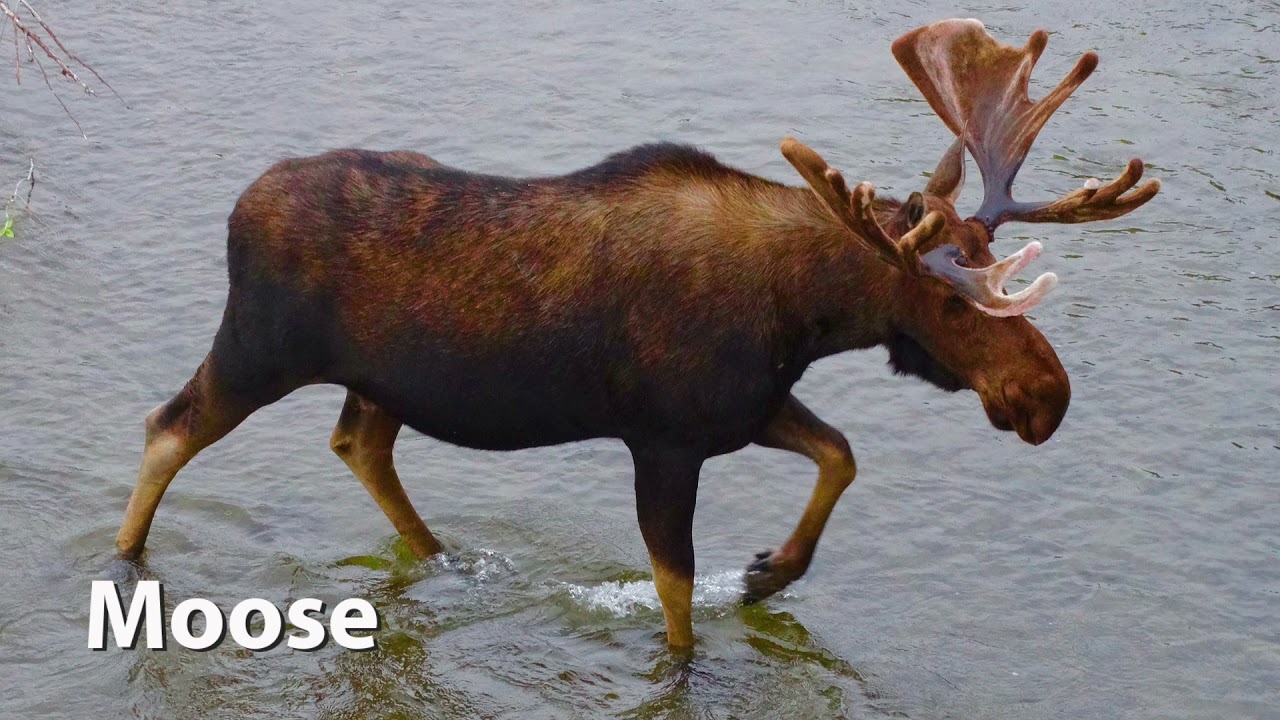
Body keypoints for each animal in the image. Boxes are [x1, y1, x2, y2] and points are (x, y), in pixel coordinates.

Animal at [115, 19, 1158, 648]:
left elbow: (841, 454)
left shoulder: (746, 409)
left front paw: (772, 572)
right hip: (260, 347)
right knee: (169, 426)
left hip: (378, 380)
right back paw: (126, 562)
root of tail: (239, 208)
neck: (806, 314)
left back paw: (442, 556)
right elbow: (677, 599)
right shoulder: (662, 438)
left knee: (358, 443)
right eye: (948, 300)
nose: (1049, 395)